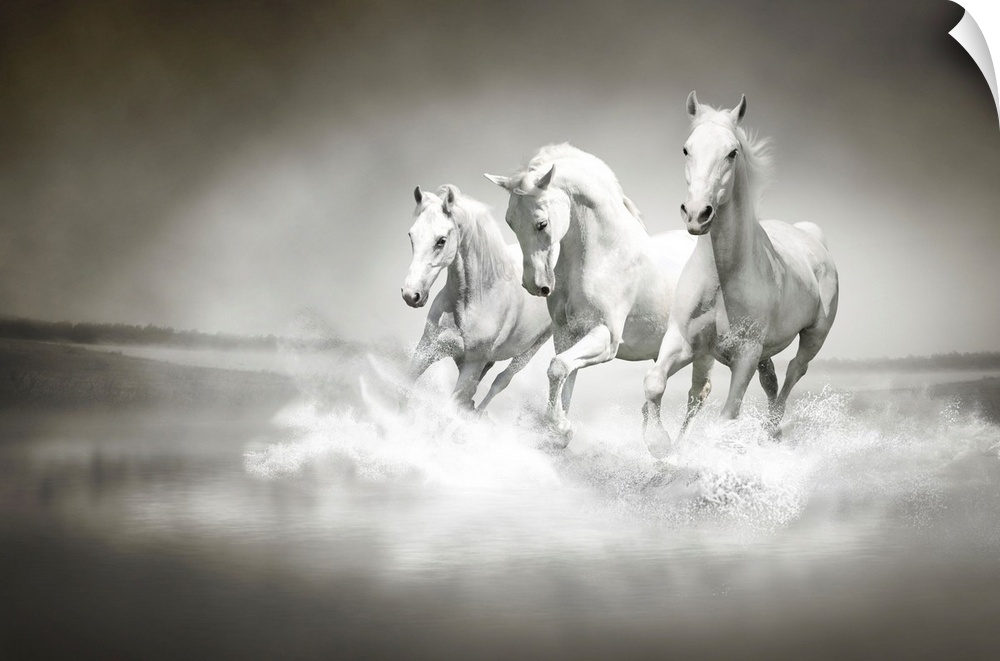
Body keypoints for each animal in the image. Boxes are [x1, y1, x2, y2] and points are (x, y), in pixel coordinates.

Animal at [400, 186, 556, 412]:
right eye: (411, 235)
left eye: (441, 240)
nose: (411, 295)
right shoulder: (427, 348)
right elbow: (403, 392)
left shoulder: (472, 365)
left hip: (532, 348)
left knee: (501, 381)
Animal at [484, 144, 704, 444]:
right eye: (509, 222)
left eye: (541, 224)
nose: (535, 285)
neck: (605, 255)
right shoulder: (567, 335)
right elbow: (565, 375)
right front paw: (560, 429)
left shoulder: (606, 337)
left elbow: (557, 368)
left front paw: (561, 427)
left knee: (698, 396)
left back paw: (674, 448)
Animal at [640, 91, 836, 454]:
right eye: (686, 149)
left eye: (732, 152)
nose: (697, 214)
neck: (722, 277)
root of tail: (812, 237)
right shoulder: (684, 340)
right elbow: (654, 382)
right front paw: (660, 444)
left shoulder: (745, 354)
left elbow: (727, 415)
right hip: (762, 352)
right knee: (770, 379)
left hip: (814, 335)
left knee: (794, 372)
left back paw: (771, 431)